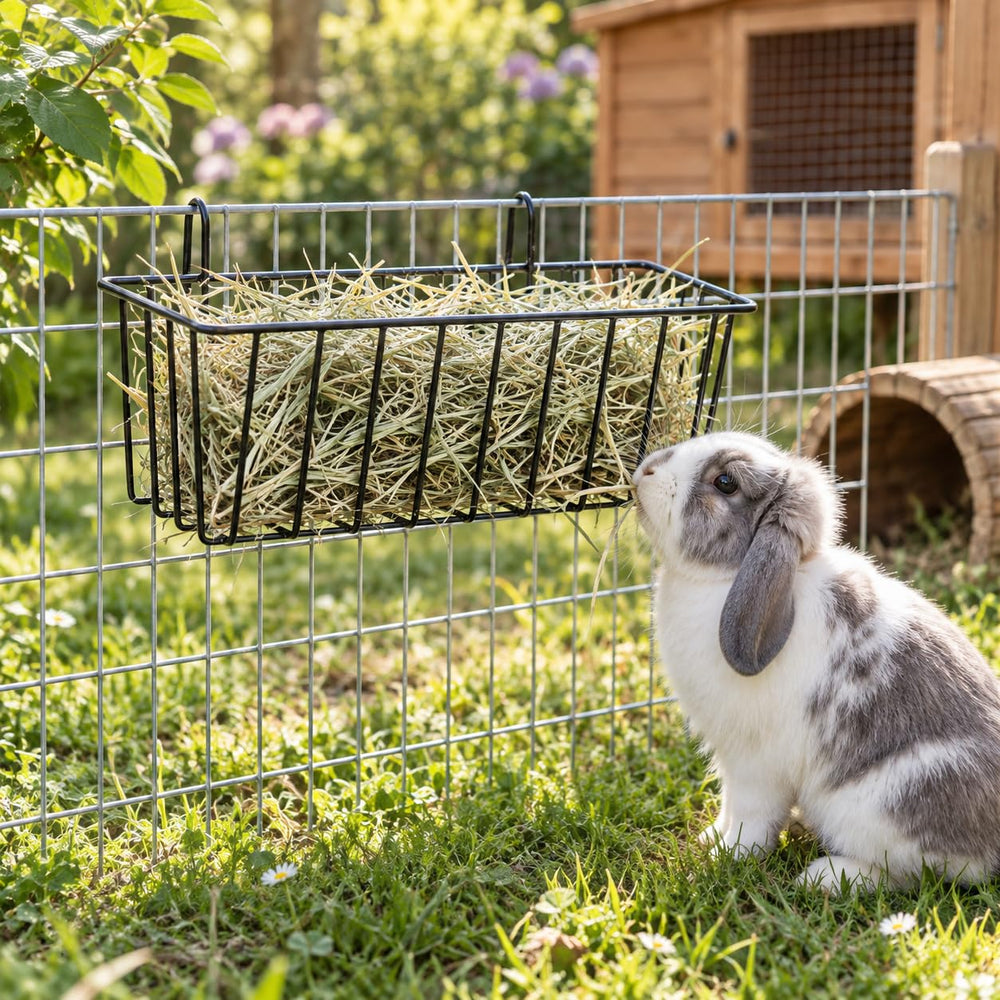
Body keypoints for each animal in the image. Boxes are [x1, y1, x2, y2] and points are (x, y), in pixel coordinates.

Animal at [632, 430, 1000, 892]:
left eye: (725, 483)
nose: (645, 471)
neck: (726, 580)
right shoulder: (732, 762)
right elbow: (729, 804)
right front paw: (710, 837)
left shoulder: (757, 765)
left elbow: (753, 819)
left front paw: (726, 856)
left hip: (882, 806)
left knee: (911, 873)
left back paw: (824, 877)